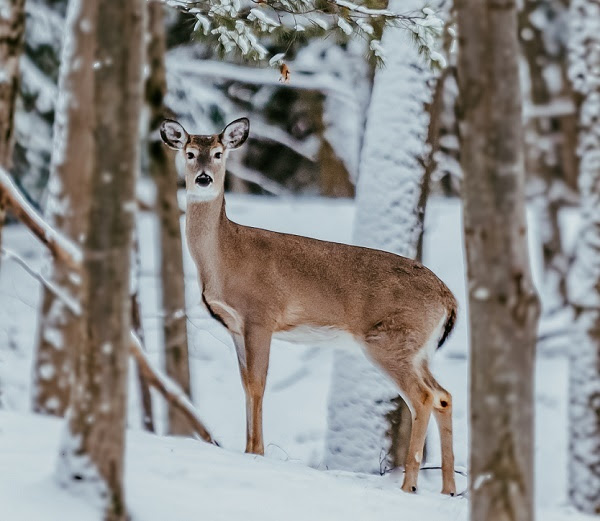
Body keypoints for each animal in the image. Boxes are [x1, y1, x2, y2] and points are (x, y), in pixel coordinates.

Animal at [162, 116, 458, 494]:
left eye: (217, 153)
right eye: (188, 153)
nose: (203, 178)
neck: (225, 256)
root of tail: (447, 296)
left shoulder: (261, 314)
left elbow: (257, 382)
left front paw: (256, 452)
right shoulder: (234, 325)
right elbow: (245, 383)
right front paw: (249, 449)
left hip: (391, 341)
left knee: (422, 397)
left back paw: (409, 486)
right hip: (417, 348)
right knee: (443, 395)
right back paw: (448, 488)